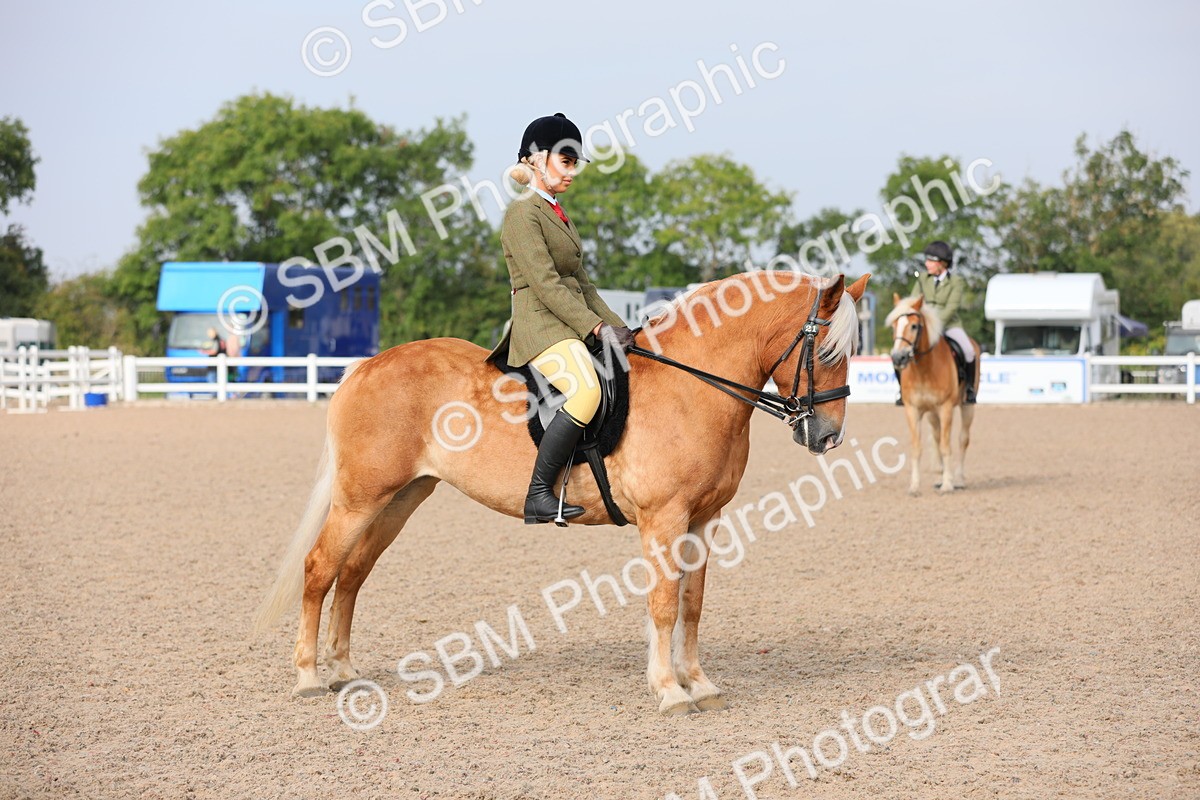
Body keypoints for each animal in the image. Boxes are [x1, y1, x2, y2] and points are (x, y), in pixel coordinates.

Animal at [254, 271, 870, 716]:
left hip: (402, 499)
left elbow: (692, 604)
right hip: (361, 499)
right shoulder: (664, 519)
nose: (828, 436)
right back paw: (309, 677)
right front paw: (669, 691)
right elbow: (664, 604)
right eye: (828, 352)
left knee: (353, 573)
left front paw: (700, 684)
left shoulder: (704, 519)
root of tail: (365, 366)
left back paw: (343, 672)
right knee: (320, 567)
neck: (691, 384)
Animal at [886, 293, 980, 496]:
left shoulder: (946, 409)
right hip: (932, 414)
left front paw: (947, 485)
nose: (898, 358)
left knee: (962, 440)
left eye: (914, 326)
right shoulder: (912, 410)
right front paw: (914, 486)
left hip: (967, 407)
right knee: (936, 440)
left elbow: (946, 446)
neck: (924, 369)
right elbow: (917, 447)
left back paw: (958, 480)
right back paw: (939, 477)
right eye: (894, 326)